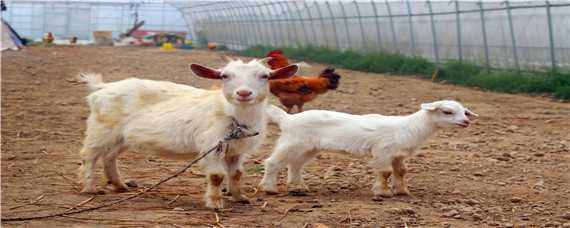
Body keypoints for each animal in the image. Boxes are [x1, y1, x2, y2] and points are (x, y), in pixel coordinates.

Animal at [1, 118, 258, 222]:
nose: (255, 132)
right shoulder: (213, 148)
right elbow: (216, 175)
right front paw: (216, 204)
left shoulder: (234, 153)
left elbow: (236, 173)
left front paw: (241, 197)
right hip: (101, 132)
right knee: (89, 156)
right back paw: (89, 187)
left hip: (119, 138)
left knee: (109, 157)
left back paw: (120, 184)